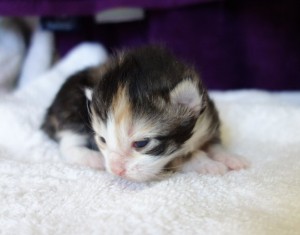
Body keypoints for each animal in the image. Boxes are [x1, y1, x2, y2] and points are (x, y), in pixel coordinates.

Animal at [42, 45, 248, 182]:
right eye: (102, 140)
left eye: (141, 143)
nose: (116, 170)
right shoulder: (169, 160)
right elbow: (186, 157)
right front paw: (207, 163)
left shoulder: (207, 118)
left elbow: (214, 144)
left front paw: (231, 157)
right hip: (72, 108)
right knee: (67, 143)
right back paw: (93, 158)